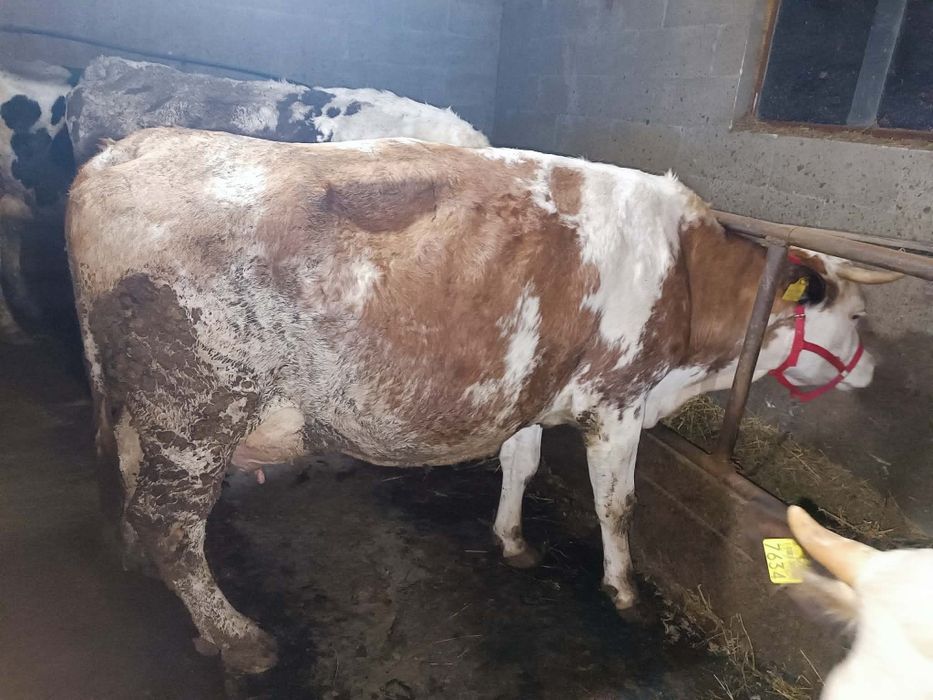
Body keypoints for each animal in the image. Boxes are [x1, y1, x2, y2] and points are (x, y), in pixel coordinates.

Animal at [65, 127, 899, 673]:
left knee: (138, 500)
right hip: (197, 406)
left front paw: (512, 540)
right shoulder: (618, 401)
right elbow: (616, 505)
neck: (686, 279)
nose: (869, 373)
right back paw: (241, 639)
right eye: (858, 316)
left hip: (141, 410)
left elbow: (520, 464)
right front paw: (624, 591)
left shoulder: (527, 389)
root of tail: (121, 153)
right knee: (171, 524)